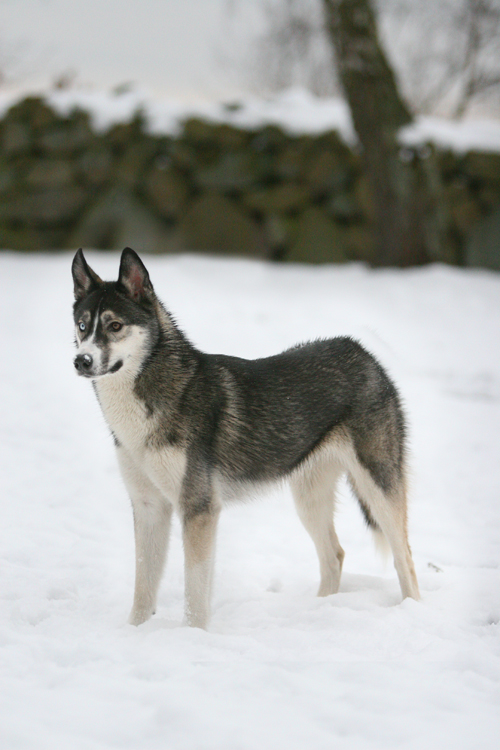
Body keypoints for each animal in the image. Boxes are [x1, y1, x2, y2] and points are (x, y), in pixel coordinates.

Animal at [72, 250, 420, 632]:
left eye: (115, 326)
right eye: (83, 326)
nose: (81, 360)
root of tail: (361, 352)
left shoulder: (199, 510)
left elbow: (194, 593)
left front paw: (193, 636)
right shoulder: (150, 507)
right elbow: (143, 588)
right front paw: (134, 633)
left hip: (378, 487)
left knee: (405, 557)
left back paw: (413, 611)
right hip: (308, 497)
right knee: (335, 555)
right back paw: (319, 610)